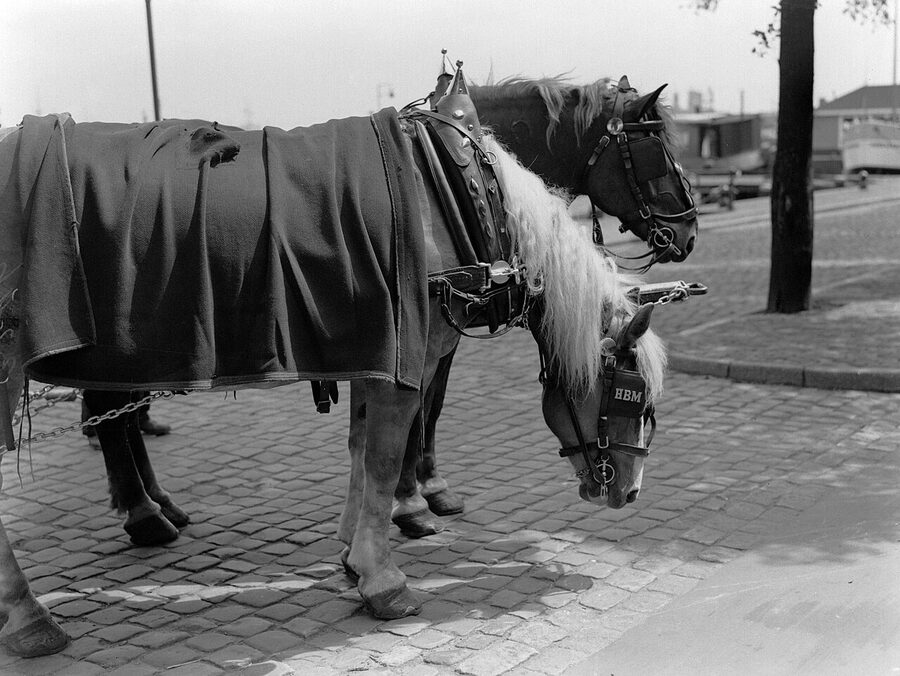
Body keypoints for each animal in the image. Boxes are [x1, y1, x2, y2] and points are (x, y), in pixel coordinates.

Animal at [0, 102, 667, 655]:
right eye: (632, 400)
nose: (629, 492)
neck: (450, 193)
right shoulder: (409, 358)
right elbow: (385, 456)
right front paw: (382, 576)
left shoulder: (374, 350)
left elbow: (360, 446)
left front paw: (351, 550)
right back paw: (40, 609)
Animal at [386, 75, 698, 536]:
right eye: (655, 153)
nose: (689, 229)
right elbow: (414, 405)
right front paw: (408, 501)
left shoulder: (447, 331)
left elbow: (431, 404)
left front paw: (432, 488)